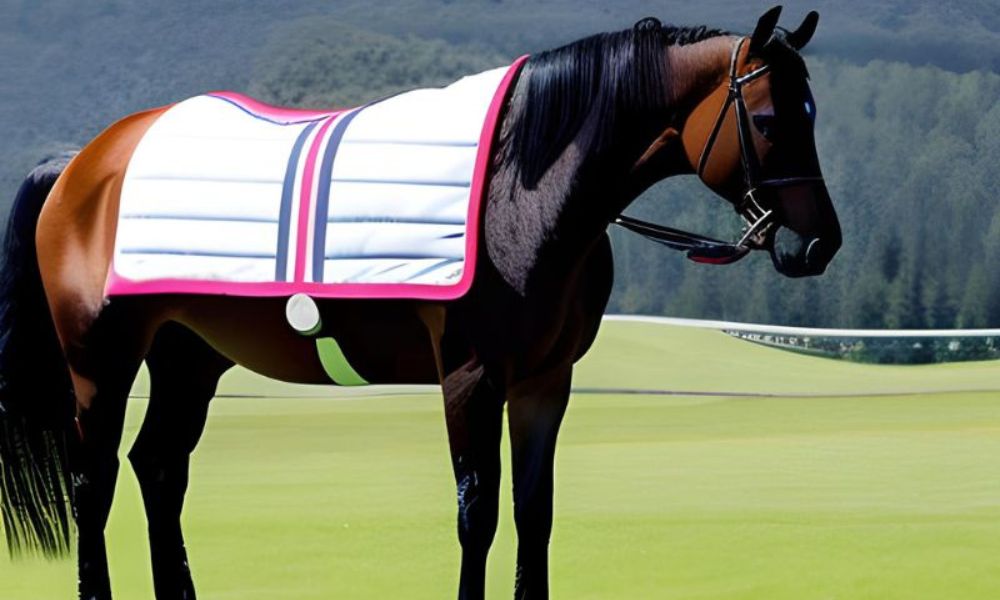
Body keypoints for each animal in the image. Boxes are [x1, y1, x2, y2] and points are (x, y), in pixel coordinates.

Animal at [0, 6, 840, 599]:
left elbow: (534, 513)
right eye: (769, 119)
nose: (818, 244)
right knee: (93, 484)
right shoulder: (470, 376)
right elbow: (479, 513)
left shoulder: (545, 382)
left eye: (814, 115)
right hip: (99, 362)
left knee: (158, 468)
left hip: (189, 357)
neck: (523, 192)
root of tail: (82, 163)